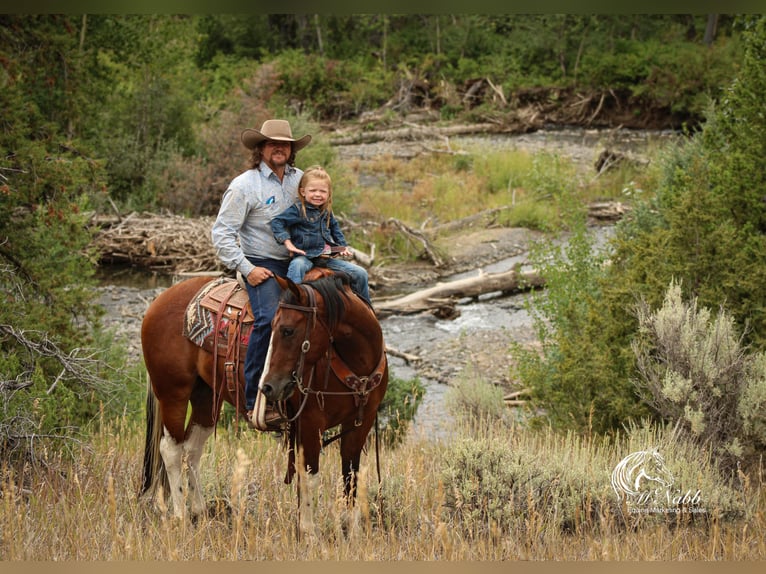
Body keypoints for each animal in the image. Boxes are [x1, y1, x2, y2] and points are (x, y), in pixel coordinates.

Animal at [139, 271, 388, 522]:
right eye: (275, 328)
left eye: (288, 330)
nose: (268, 387)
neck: (355, 363)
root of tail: (161, 299)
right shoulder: (310, 422)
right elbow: (309, 478)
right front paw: (307, 529)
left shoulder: (360, 423)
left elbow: (351, 477)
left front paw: (352, 527)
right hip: (173, 392)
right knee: (171, 449)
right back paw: (180, 516)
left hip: (206, 396)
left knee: (192, 449)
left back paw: (199, 512)